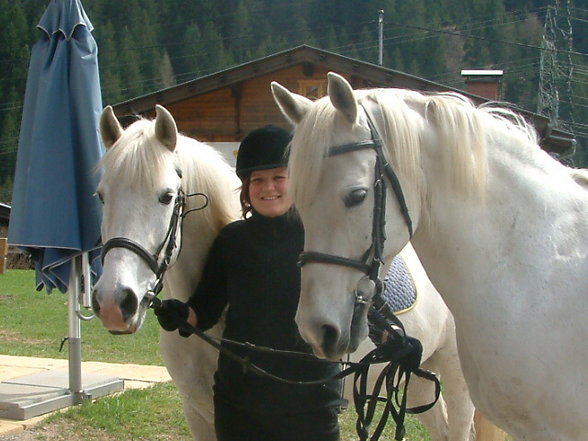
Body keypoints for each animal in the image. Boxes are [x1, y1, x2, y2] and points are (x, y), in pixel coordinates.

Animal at [93, 104, 474, 440]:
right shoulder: (198, 411)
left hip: (457, 376)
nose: (114, 302)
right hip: (418, 377)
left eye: (166, 196)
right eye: (101, 196)